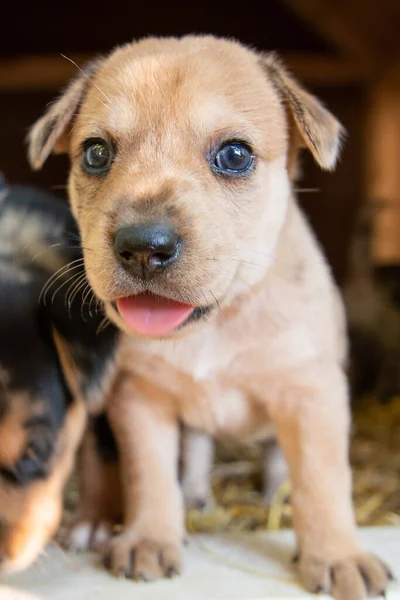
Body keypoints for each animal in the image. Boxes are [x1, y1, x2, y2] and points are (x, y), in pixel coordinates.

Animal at [29, 35, 392, 596]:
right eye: (95, 153)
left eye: (235, 155)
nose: (143, 247)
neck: (215, 324)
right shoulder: (140, 399)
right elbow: (150, 475)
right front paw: (150, 538)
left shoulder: (313, 396)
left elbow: (323, 482)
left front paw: (337, 555)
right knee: (194, 448)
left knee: (276, 458)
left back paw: (273, 492)